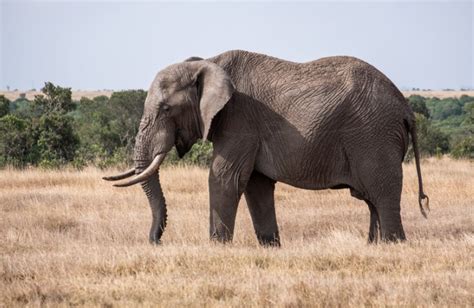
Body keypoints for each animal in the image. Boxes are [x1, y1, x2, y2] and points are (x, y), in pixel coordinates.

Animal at [103, 49, 430, 247]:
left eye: (166, 108)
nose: (155, 241)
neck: (208, 61)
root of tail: (406, 108)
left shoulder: (239, 118)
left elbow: (225, 177)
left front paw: (217, 247)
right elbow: (256, 186)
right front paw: (270, 246)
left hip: (374, 135)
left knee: (382, 193)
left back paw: (393, 245)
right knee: (372, 199)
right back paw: (372, 246)